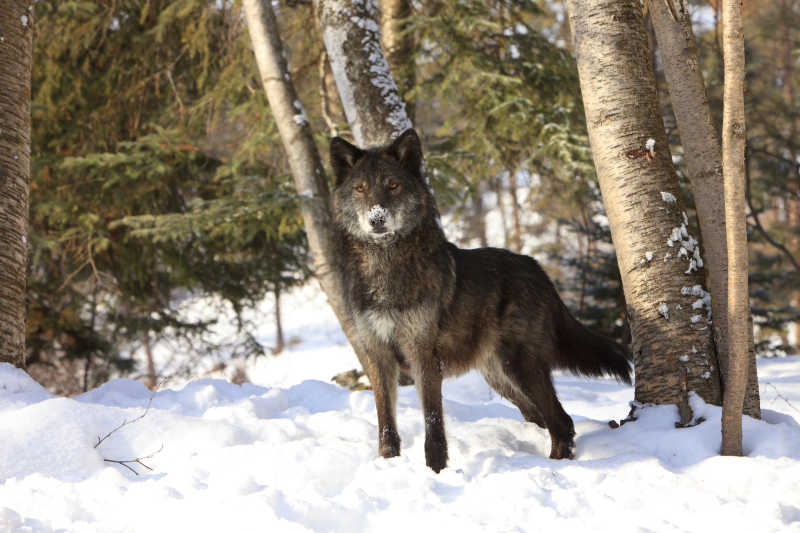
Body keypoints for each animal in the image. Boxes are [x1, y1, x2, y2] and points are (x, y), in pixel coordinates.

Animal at [328, 130, 628, 474]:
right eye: (360, 188)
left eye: (393, 185)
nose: (377, 218)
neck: (385, 269)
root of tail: (537, 268)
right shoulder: (378, 357)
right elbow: (386, 425)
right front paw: (389, 464)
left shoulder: (422, 355)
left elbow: (433, 424)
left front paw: (436, 472)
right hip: (500, 378)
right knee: (544, 418)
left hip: (520, 367)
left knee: (562, 422)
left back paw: (554, 466)